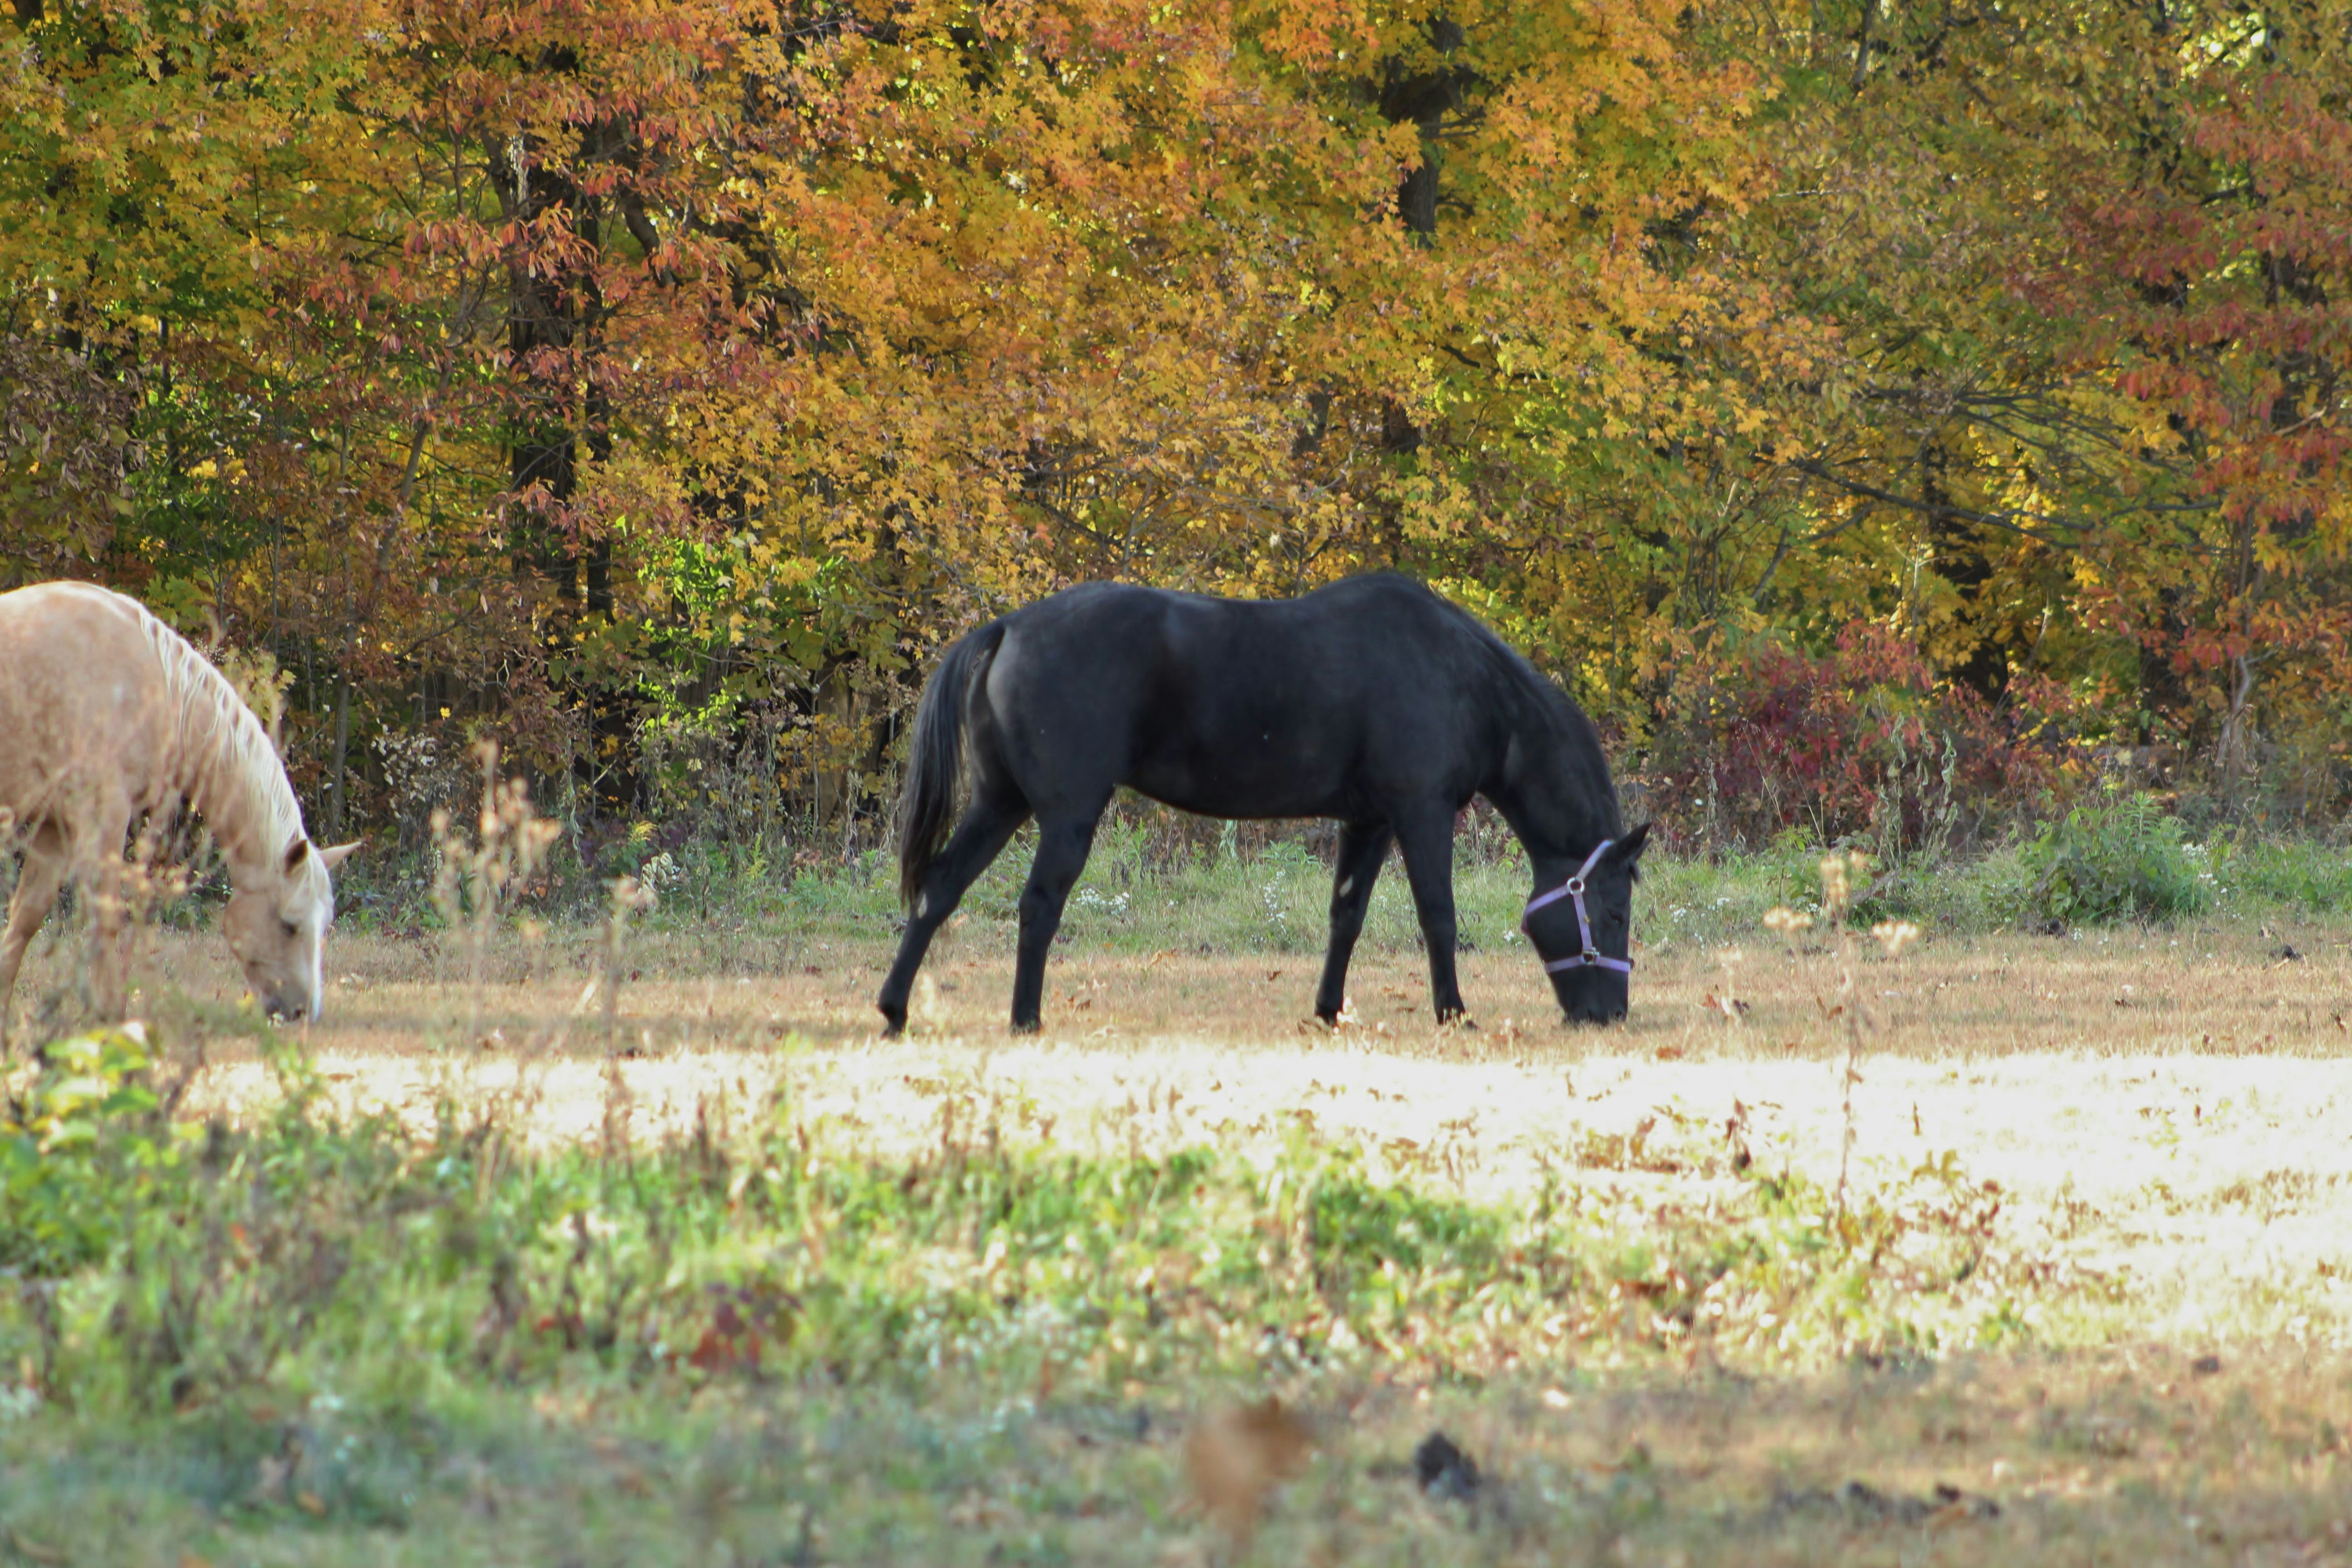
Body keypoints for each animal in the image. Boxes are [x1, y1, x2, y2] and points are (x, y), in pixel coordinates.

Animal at [0, 581, 359, 1037]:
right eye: (289, 924)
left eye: (324, 924)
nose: (301, 1013)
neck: (156, 682)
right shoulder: (103, 815)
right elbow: (106, 914)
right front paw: (110, 1017)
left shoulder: (56, 824)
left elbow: (26, 916)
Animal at [878, 573, 1647, 1035]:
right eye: (1613, 912)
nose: (1609, 1015)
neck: (1460, 680)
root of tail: (1009, 626)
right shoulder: (1422, 813)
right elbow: (1439, 915)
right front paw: (1454, 1013)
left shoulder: (1368, 822)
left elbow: (1346, 916)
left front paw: (1329, 1012)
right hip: (1067, 818)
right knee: (1038, 906)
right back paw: (1026, 1020)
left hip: (999, 804)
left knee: (940, 889)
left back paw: (894, 1009)